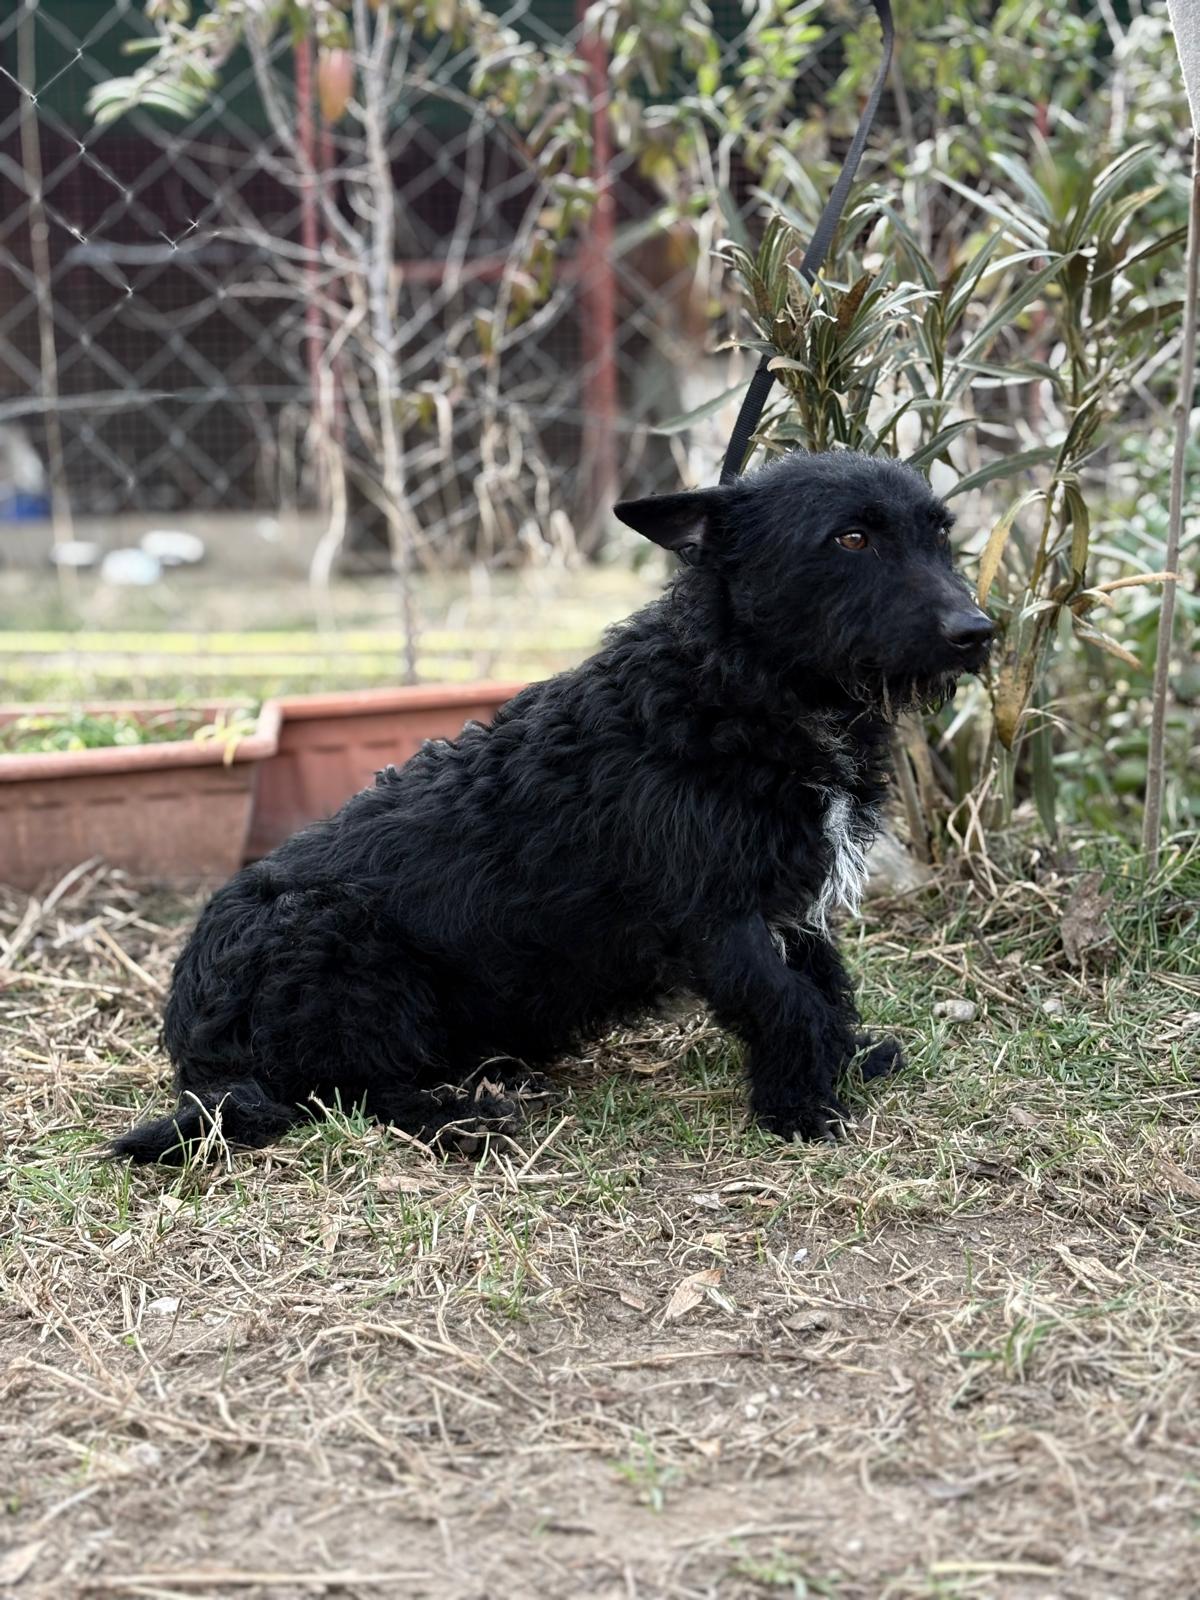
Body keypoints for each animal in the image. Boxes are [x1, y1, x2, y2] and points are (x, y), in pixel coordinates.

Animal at [113, 450, 992, 1163]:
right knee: (347, 1095)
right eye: (852, 540)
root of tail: (194, 1046)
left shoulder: (795, 907)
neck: (735, 689)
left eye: (939, 535)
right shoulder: (719, 920)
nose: (978, 632)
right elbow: (787, 1004)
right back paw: (459, 1118)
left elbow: (826, 989)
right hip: (347, 947)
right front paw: (801, 1108)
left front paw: (841, 1065)